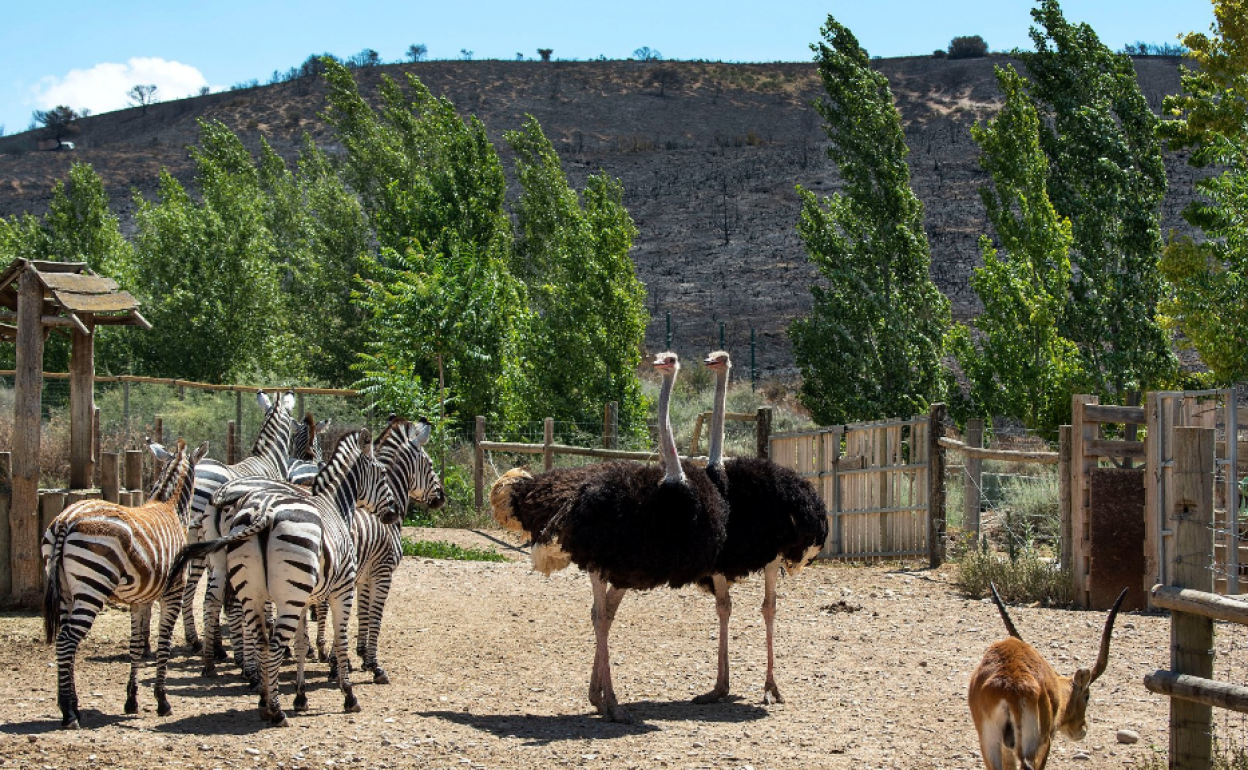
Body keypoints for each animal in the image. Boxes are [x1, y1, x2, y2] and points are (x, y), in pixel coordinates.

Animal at [41, 439, 207, 728]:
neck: (170, 507)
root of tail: (65, 520)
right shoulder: (173, 593)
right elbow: (163, 643)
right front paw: (162, 701)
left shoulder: (139, 600)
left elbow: (136, 645)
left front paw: (132, 700)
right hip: (93, 586)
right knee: (66, 640)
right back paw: (69, 713)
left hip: (65, 592)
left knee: (67, 642)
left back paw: (72, 705)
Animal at [173, 429, 396, 723]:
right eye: (382, 473)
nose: (393, 512)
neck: (335, 505)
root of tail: (263, 513)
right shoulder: (342, 589)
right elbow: (340, 640)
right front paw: (348, 694)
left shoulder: (305, 597)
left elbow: (301, 643)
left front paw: (301, 697)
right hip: (289, 594)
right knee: (276, 643)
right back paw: (275, 710)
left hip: (253, 590)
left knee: (255, 634)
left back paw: (260, 696)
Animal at [963, 581, 1133, 768]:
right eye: (1087, 696)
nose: (1082, 729)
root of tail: (1010, 688)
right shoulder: (1047, 741)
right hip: (1032, 745)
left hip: (990, 745)